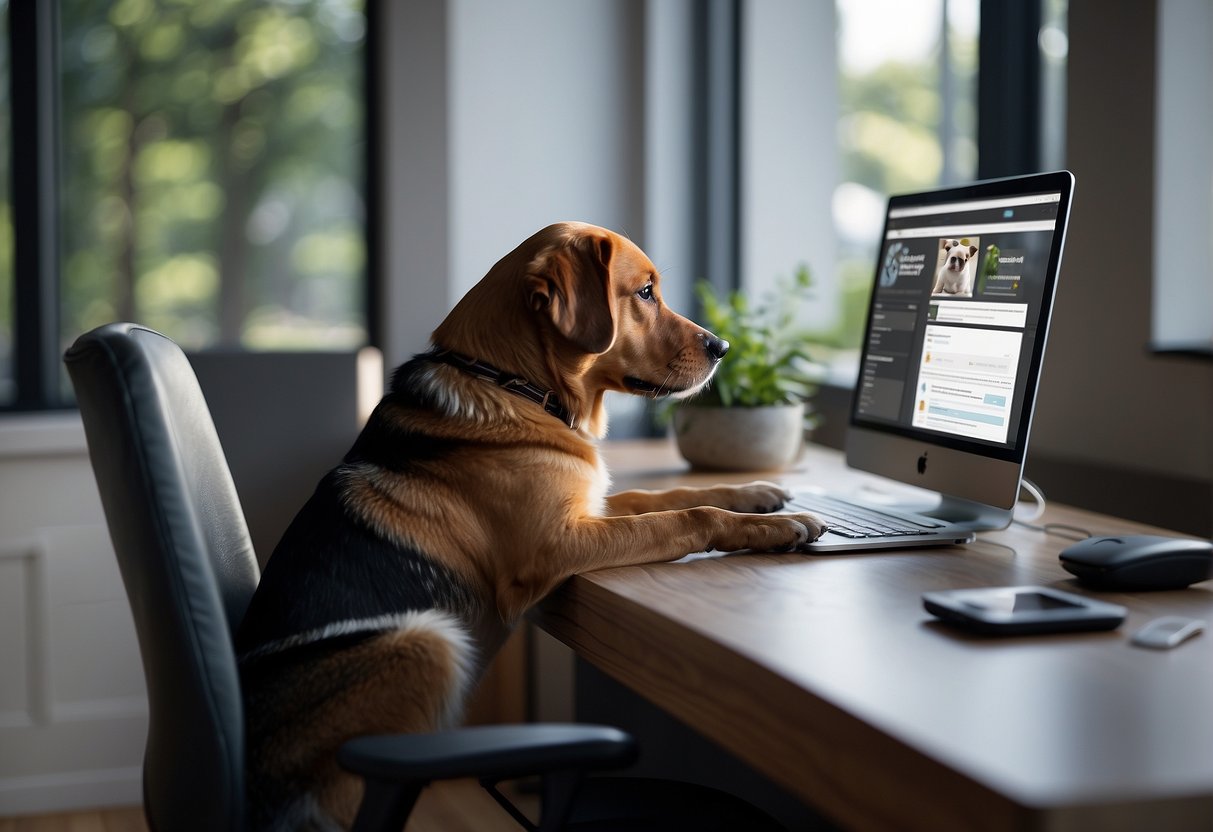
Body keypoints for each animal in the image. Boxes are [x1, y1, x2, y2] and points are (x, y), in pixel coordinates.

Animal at [234, 219, 824, 829]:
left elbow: (669, 493)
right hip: (425, 643)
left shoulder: (591, 507)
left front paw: (758, 494)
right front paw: (780, 527)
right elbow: (686, 517)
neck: (514, 385)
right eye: (644, 293)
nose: (723, 347)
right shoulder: (557, 544)